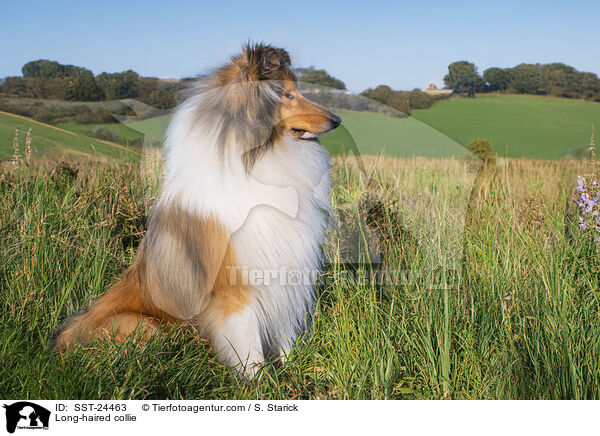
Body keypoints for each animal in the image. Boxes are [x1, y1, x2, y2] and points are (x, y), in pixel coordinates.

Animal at [50, 44, 342, 376]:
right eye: (287, 94)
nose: (336, 120)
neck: (258, 157)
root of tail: (61, 345)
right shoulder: (235, 289)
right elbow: (249, 347)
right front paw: (261, 383)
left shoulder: (284, 269)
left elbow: (285, 336)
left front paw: (293, 372)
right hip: (144, 326)